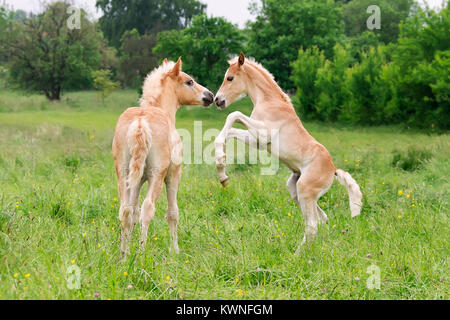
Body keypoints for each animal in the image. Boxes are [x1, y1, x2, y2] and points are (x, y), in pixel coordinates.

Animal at [113, 58, 214, 255]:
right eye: (189, 81)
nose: (210, 96)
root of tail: (140, 122)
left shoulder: (138, 180)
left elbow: (133, 212)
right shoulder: (173, 175)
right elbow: (172, 212)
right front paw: (175, 250)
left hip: (124, 174)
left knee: (125, 210)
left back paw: (124, 254)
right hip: (157, 175)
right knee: (147, 209)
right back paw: (141, 252)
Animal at [214, 52, 362, 254]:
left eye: (230, 78)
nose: (217, 100)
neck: (270, 101)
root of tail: (333, 170)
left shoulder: (263, 134)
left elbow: (233, 115)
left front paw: (221, 166)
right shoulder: (257, 140)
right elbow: (230, 131)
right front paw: (222, 172)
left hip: (305, 190)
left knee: (312, 225)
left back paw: (296, 255)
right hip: (295, 188)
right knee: (321, 219)